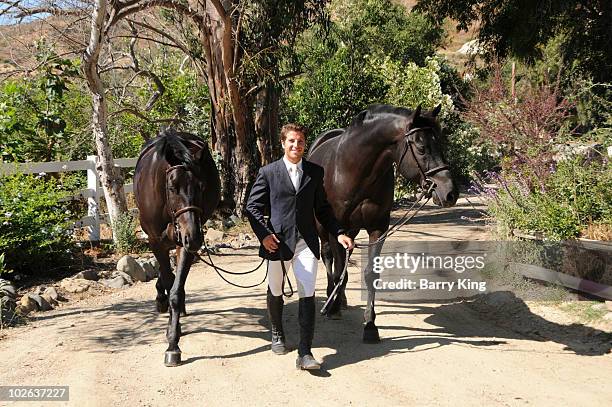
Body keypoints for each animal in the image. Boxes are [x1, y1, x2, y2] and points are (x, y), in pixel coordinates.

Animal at [134, 129, 220, 368]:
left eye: (201, 186)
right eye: (172, 187)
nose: (195, 237)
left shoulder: (185, 244)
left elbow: (175, 289)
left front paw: (173, 342)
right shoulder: (156, 241)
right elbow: (167, 277)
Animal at [308, 104, 456, 344]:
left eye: (440, 142)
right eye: (421, 147)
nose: (451, 192)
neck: (354, 171)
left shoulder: (378, 229)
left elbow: (371, 274)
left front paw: (370, 325)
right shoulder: (336, 228)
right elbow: (338, 268)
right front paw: (334, 307)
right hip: (324, 228)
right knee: (328, 256)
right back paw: (332, 299)